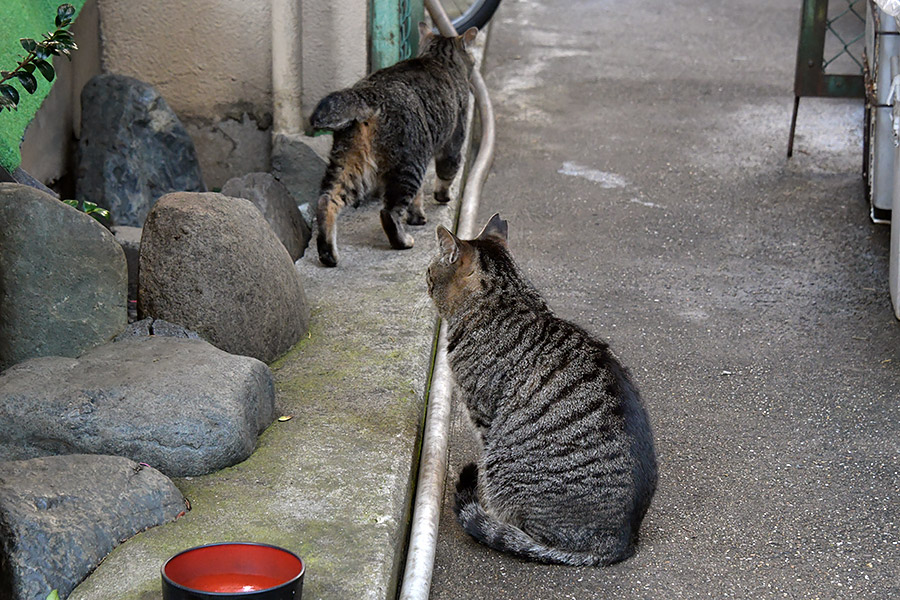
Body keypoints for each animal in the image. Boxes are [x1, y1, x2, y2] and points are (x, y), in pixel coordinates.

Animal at [310, 23, 478, 268]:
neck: (438, 57)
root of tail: (369, 93)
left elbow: (417, 198)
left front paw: (417, 217)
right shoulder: (453, 142)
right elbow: (446, 175)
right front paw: (442, 198)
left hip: (350, 165)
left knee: (326, 200)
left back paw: (328, 254)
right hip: (408, 165)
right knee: (388, 212)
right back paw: (403, 241)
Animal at [426, 216, 656, 568]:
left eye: (429, 272)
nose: (423, 282)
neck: (509, 299)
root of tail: (620, 542)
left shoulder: (483, 415)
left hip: (503, 464)